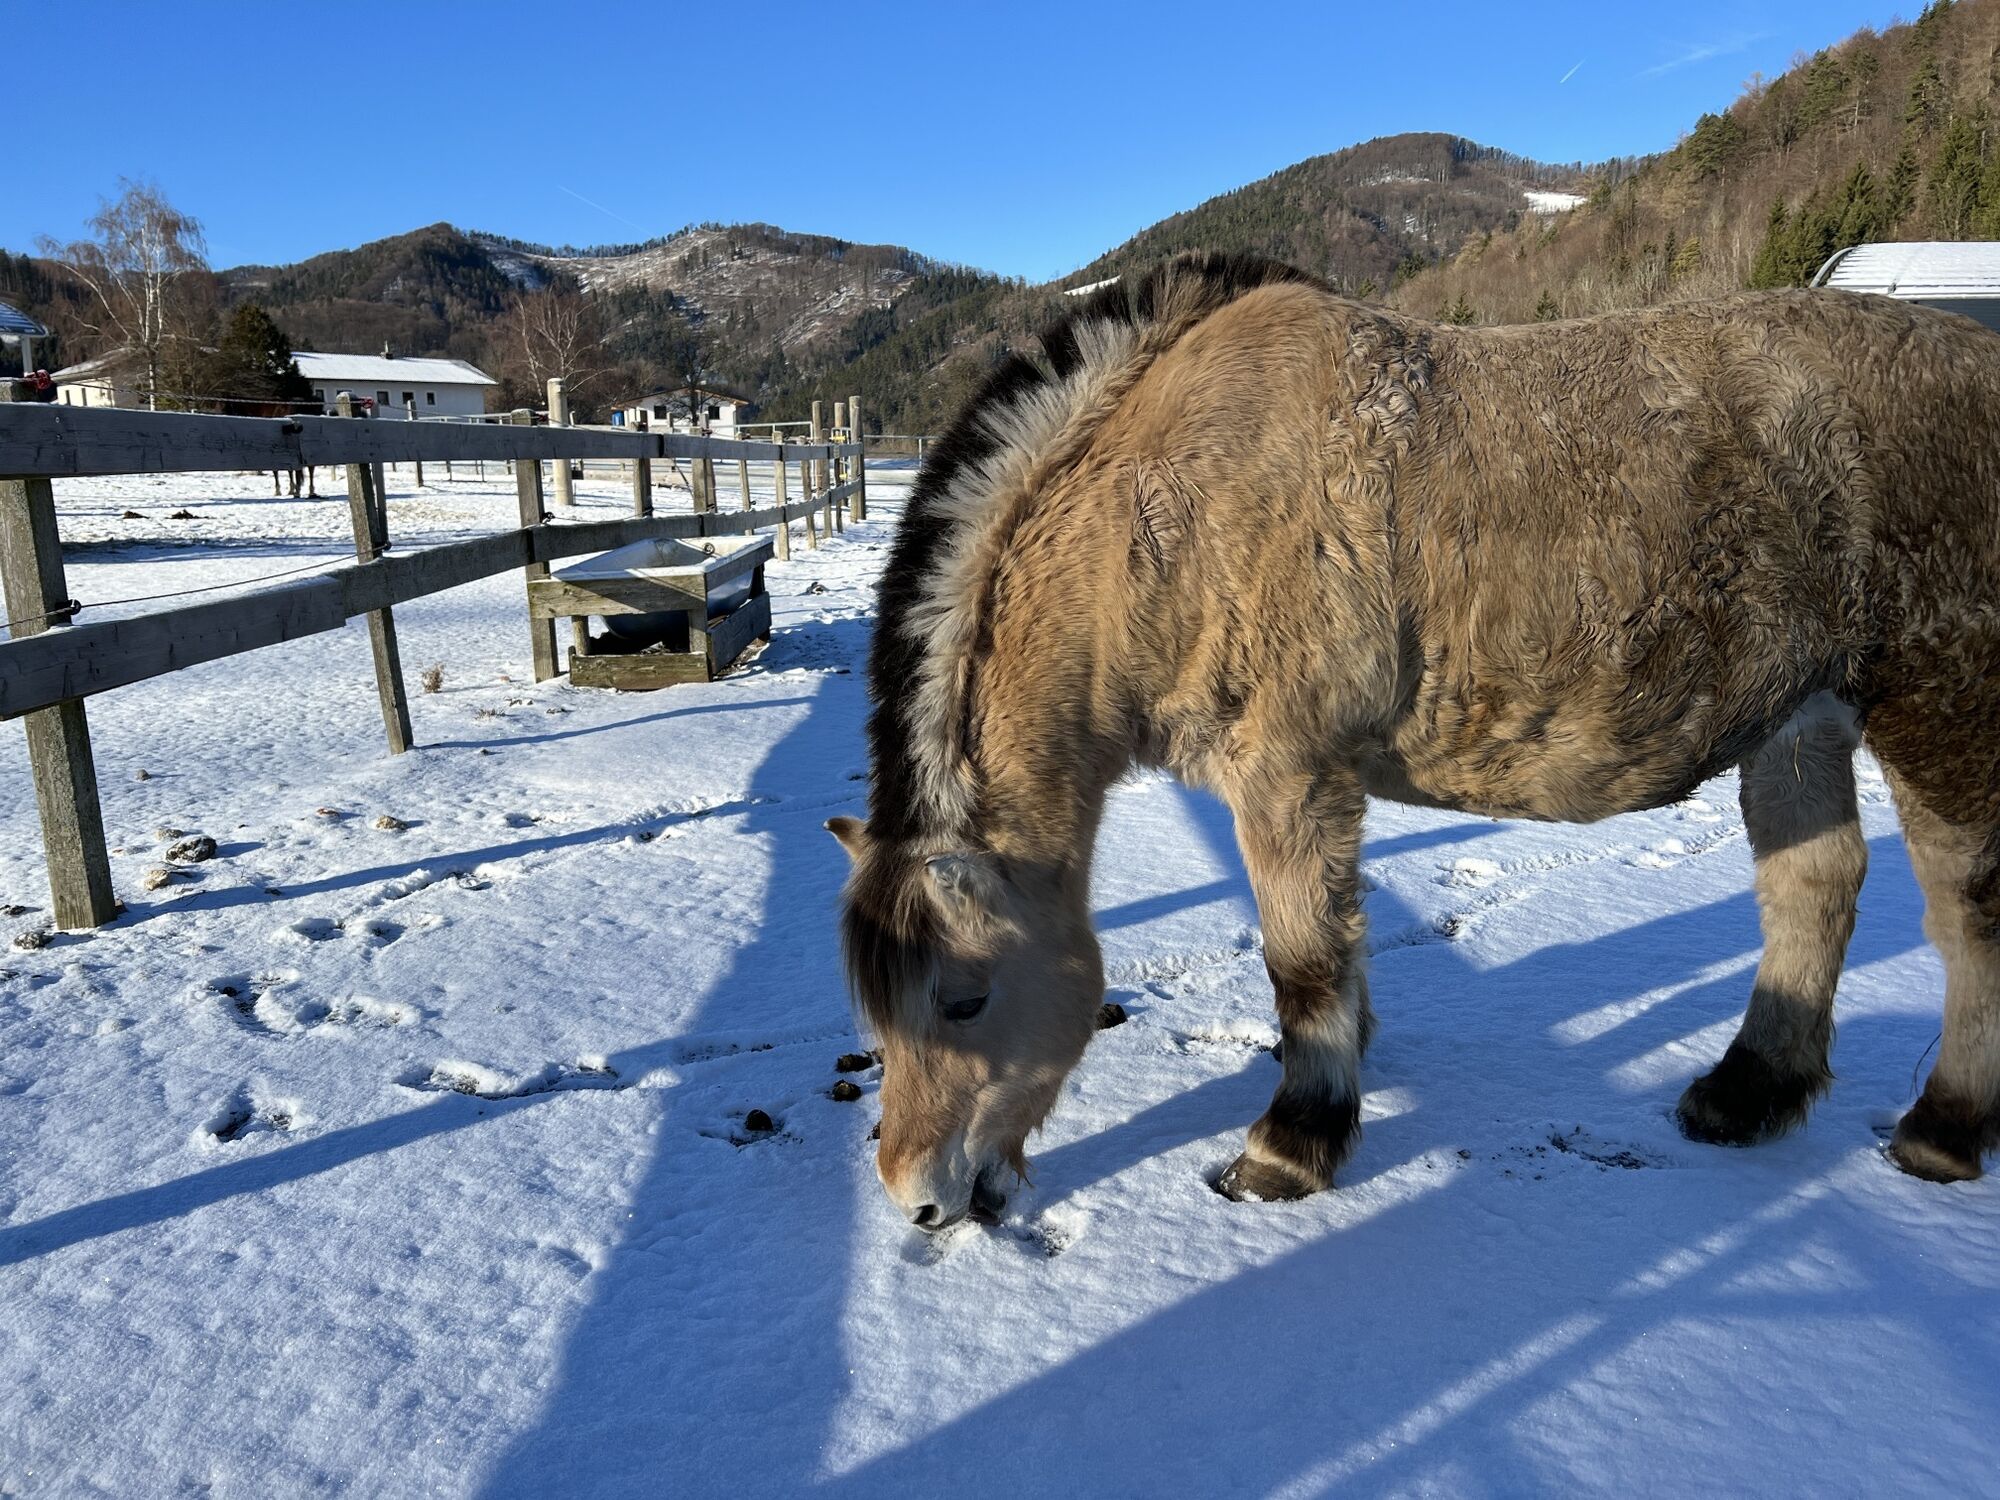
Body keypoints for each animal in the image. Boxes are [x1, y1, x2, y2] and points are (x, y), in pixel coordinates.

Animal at [830, 252, 2000, 1230]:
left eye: (964, 999)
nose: (916, 1200)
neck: (1161, 510)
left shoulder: (1287, 776)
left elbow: (1302, 959)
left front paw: (1293, 1142)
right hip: (1802, 716)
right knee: (1815, 887)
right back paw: (1745, 1094)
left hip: (1939, 705)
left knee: (1963, 913)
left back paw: (1940, 1129)